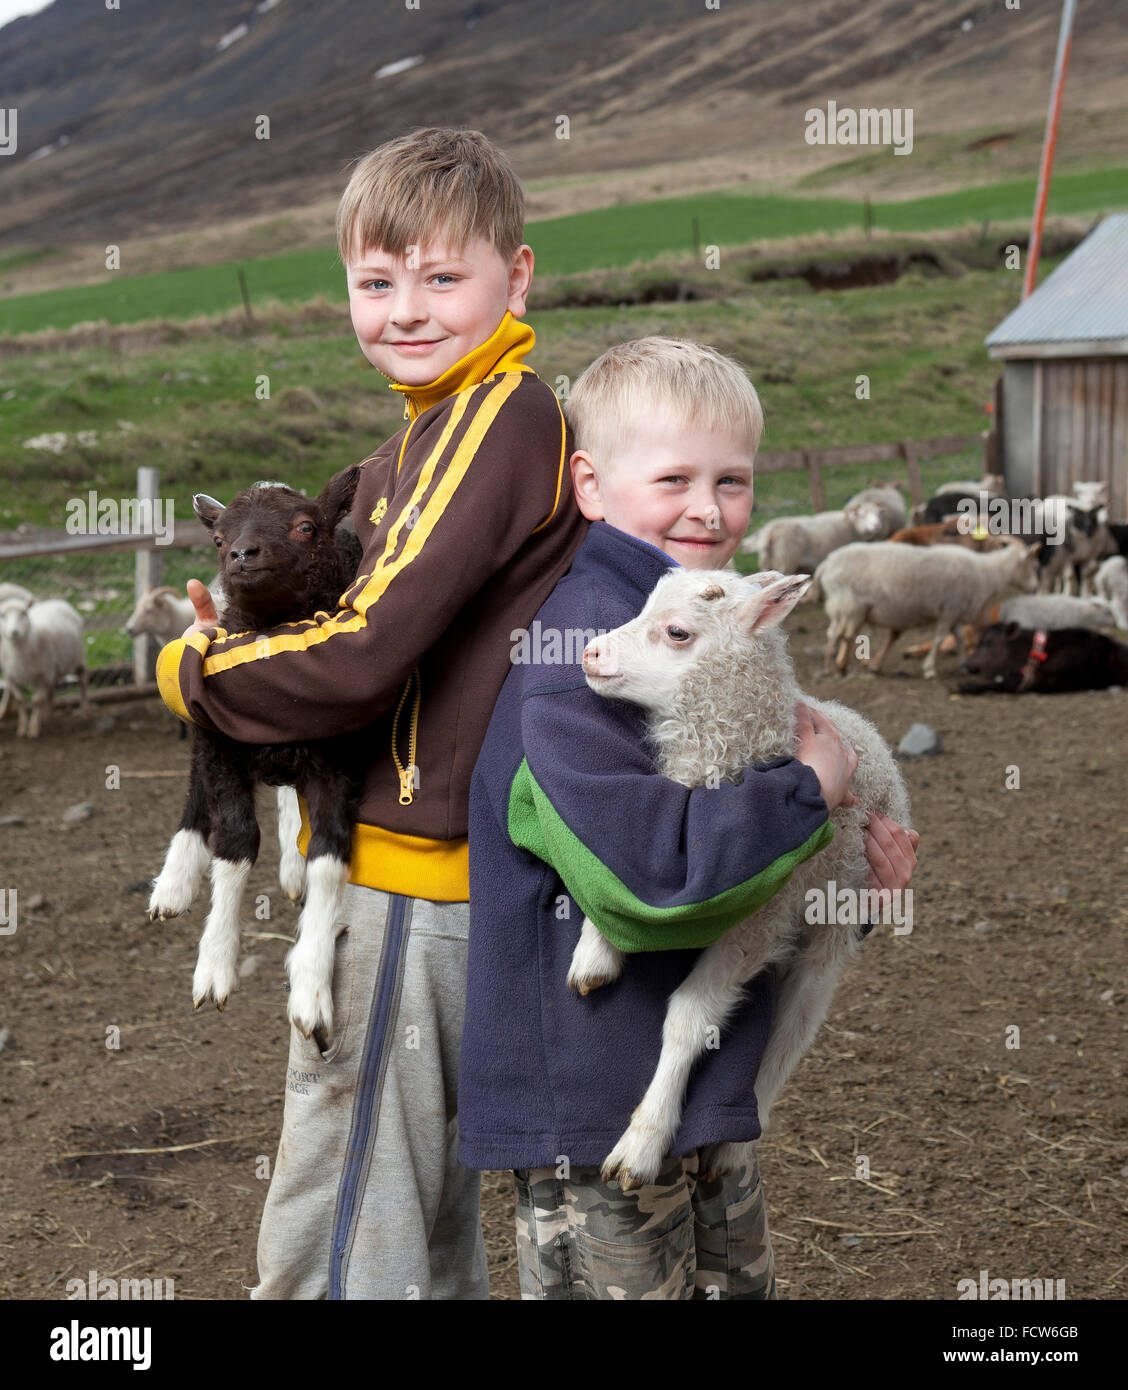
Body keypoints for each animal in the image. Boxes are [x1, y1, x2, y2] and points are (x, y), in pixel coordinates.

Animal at [0, 597, 87, 739]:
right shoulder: (11, 678)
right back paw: (48, 716)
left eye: (24, 613)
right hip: (53, 667)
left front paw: (33, 729)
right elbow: (20, 701)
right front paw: (22, 728)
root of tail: (57, 600)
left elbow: (36, 701)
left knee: (83, 680)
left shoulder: (42, 676)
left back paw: (83, 710)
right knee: (52, 689)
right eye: (2, 615)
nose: (14, 632)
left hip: (78, 657)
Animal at [147, 472, 361, 1039]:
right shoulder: (219, 740)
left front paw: (311, 989)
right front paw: (215, 966)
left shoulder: (339, 761)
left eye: (306, 526)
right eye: (219, 539)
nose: (243, 554)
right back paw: (173, 884)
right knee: (198, 791)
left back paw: (290, 868)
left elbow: (329, 857)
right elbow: (237, 841)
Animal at [569, 569, 911, 1189]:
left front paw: (642, 1142)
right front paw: (595, 953)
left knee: (792, 1034)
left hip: (830, 931)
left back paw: (733, 1146)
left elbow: (687, 1020)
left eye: (678, 632)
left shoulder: (759, 920)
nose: (591, 653)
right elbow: (629, 876)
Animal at [811, 536, 1039, 678]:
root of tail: (826, 564)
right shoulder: (950, 609)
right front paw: (929, 669)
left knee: (833, 633)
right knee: (845, 635)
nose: (1035, 589)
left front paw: (964, 664)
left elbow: (958, 638)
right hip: (852, 606)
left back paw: (830, 667)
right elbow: (939, 638)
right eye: (1032, 564)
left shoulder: (955, 614)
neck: (988, 573)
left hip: (839, 607)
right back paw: (839, 666)